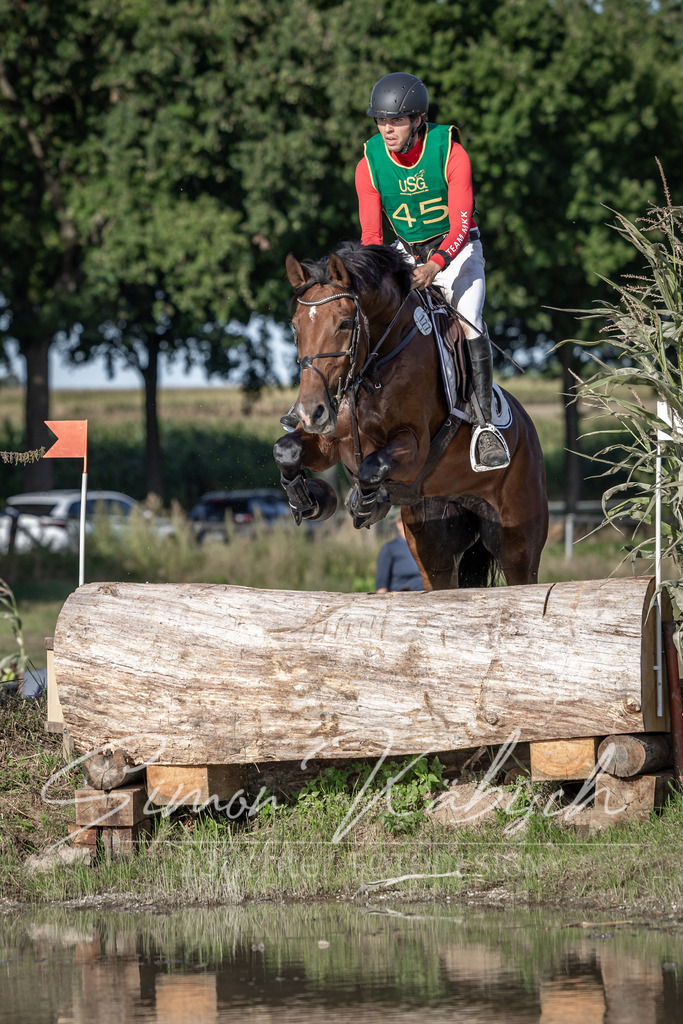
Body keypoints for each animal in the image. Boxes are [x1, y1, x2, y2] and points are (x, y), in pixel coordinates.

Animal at [273, 241, 548, 590]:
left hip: (518, 542)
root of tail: (528, 429)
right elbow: (286, 448)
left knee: (521, 572)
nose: (310, 412)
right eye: (295, 326)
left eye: (345, 323)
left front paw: (366, 505)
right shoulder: (331, 442)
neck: (375, 365)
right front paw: (308, 500)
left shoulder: (414, 447)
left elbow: (372, 466)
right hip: (433, 544)